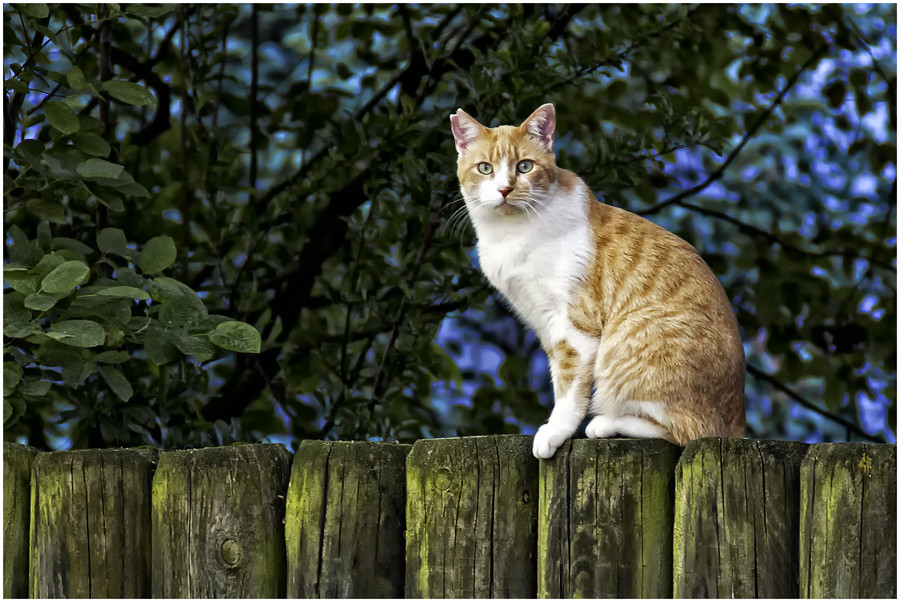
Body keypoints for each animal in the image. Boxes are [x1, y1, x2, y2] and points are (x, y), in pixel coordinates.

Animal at [450, 104, 744, 460]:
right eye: (485, 168)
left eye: (524, 166)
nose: (505, 189)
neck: (511, 233)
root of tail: (738, 427)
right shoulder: (546, 325)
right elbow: (559, 375)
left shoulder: (575, 328)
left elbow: (569, 387)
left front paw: (556, 431)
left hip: (627, 344)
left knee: (688, 430)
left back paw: (606, 423)